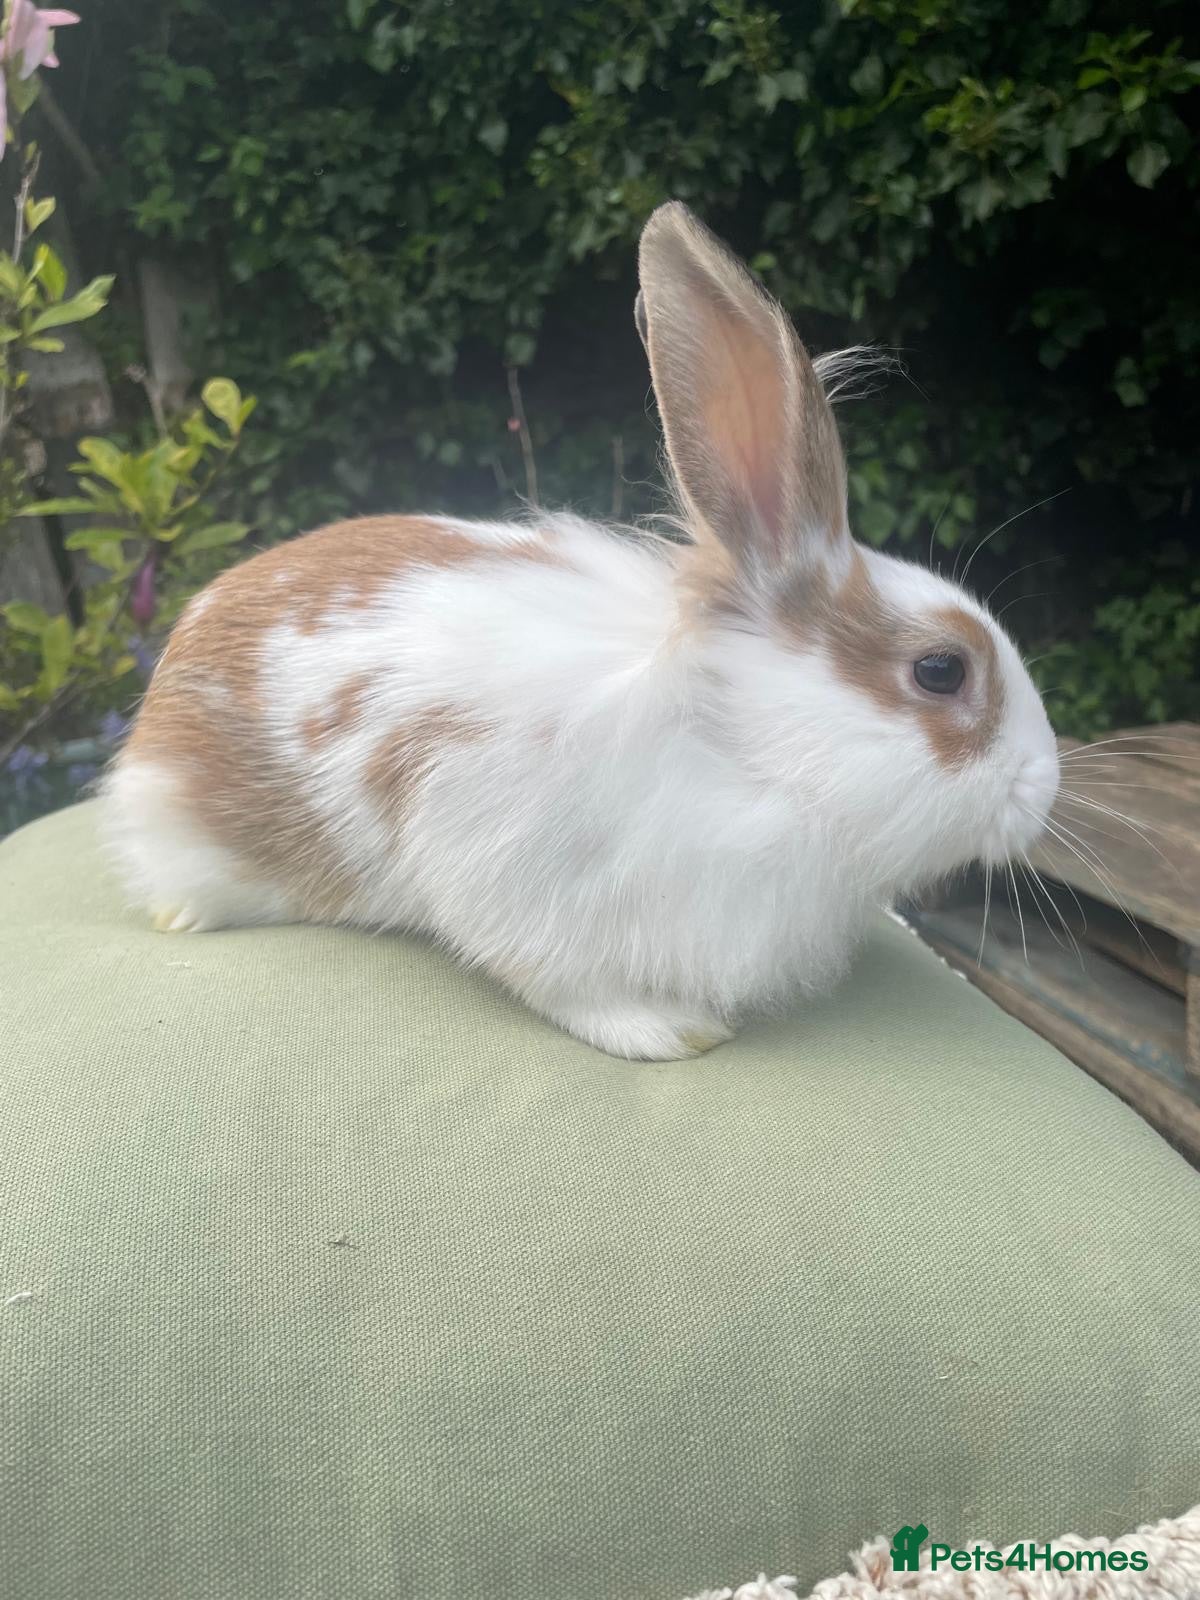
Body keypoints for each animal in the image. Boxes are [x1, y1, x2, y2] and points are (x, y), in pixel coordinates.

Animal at [100, 201, 1060, 1061]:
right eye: (941, 671)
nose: (1046, 786)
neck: (741, 750)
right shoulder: (498, 862)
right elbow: (563, 982)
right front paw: (671, 1032)